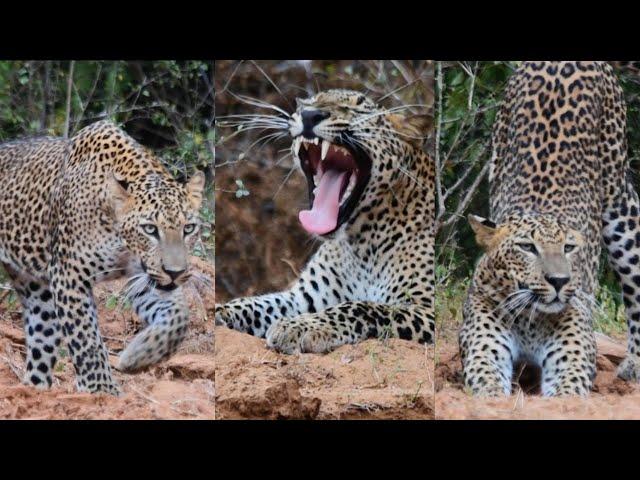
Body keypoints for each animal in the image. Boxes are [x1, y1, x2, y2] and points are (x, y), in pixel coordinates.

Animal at [0, 120, 205, 394]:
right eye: (150, 229)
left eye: (189, 228)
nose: (175, 273)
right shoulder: (68, 275)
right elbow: (87, 339)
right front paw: (101, 390)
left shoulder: (142, 276)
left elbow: (179, 317)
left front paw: (137, 357)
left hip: (37, 292)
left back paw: (35, 389)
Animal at [216, 89, 436, 352]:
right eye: (308, 103)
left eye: (356, 107)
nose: (310, 115)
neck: (361, 244)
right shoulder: (303, 297)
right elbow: (257, 304)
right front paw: (218, 310)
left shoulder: (425, 309)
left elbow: (362, 307)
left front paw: (301, 327)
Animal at [460, 61, 640, 398]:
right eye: (527, 247)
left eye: (569, 248)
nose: (559, 281)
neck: (529, 319)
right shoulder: (483, 348)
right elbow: (489, 388)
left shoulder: (573, 354)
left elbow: (565, 393)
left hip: (619, 202)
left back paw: (634, 364)